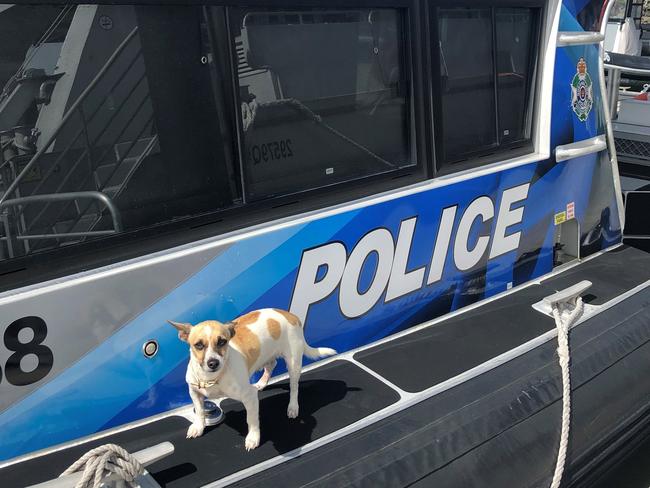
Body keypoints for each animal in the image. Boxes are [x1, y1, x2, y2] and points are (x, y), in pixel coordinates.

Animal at [168, 308, 334, 450]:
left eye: (222, 342)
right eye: (198, 345)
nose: (213, 362)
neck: (212, 378)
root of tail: (291, 316)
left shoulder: (250, 397)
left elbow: (251, 420)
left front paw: (253, 438)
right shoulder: (194, 393)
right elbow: (200, 412)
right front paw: (198, 427)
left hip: (293, 363)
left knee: (294, 388)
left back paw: (293, 407)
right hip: (267, 355)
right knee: (271, 365)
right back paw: (261, 383)